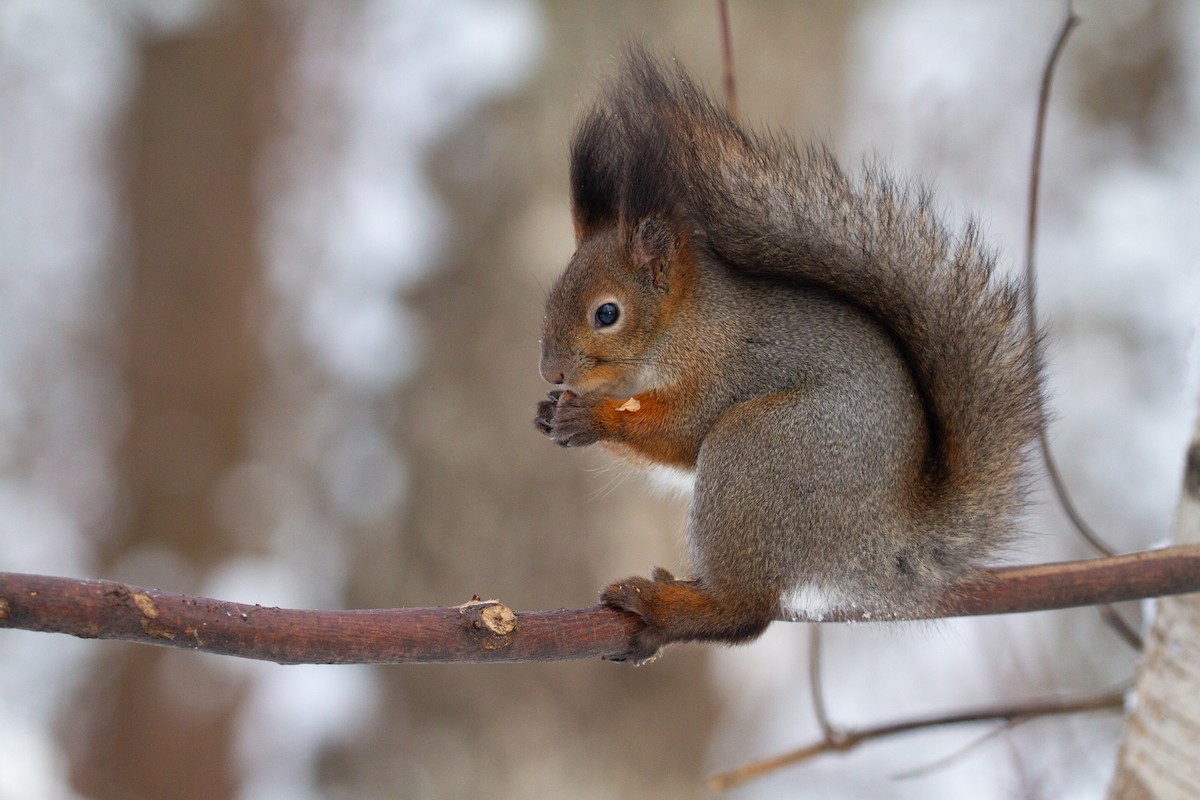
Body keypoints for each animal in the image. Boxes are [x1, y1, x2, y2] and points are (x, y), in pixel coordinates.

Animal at [534, 49, 1044, 663]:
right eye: (552, 296)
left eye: (607, 313)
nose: (551, 370)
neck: (684, 324)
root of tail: (883, 538)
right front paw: (549, 411)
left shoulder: (723, 368)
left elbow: (679, 432)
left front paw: (591, 417)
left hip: (759, 454)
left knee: (747, 614)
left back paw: (665, 607)